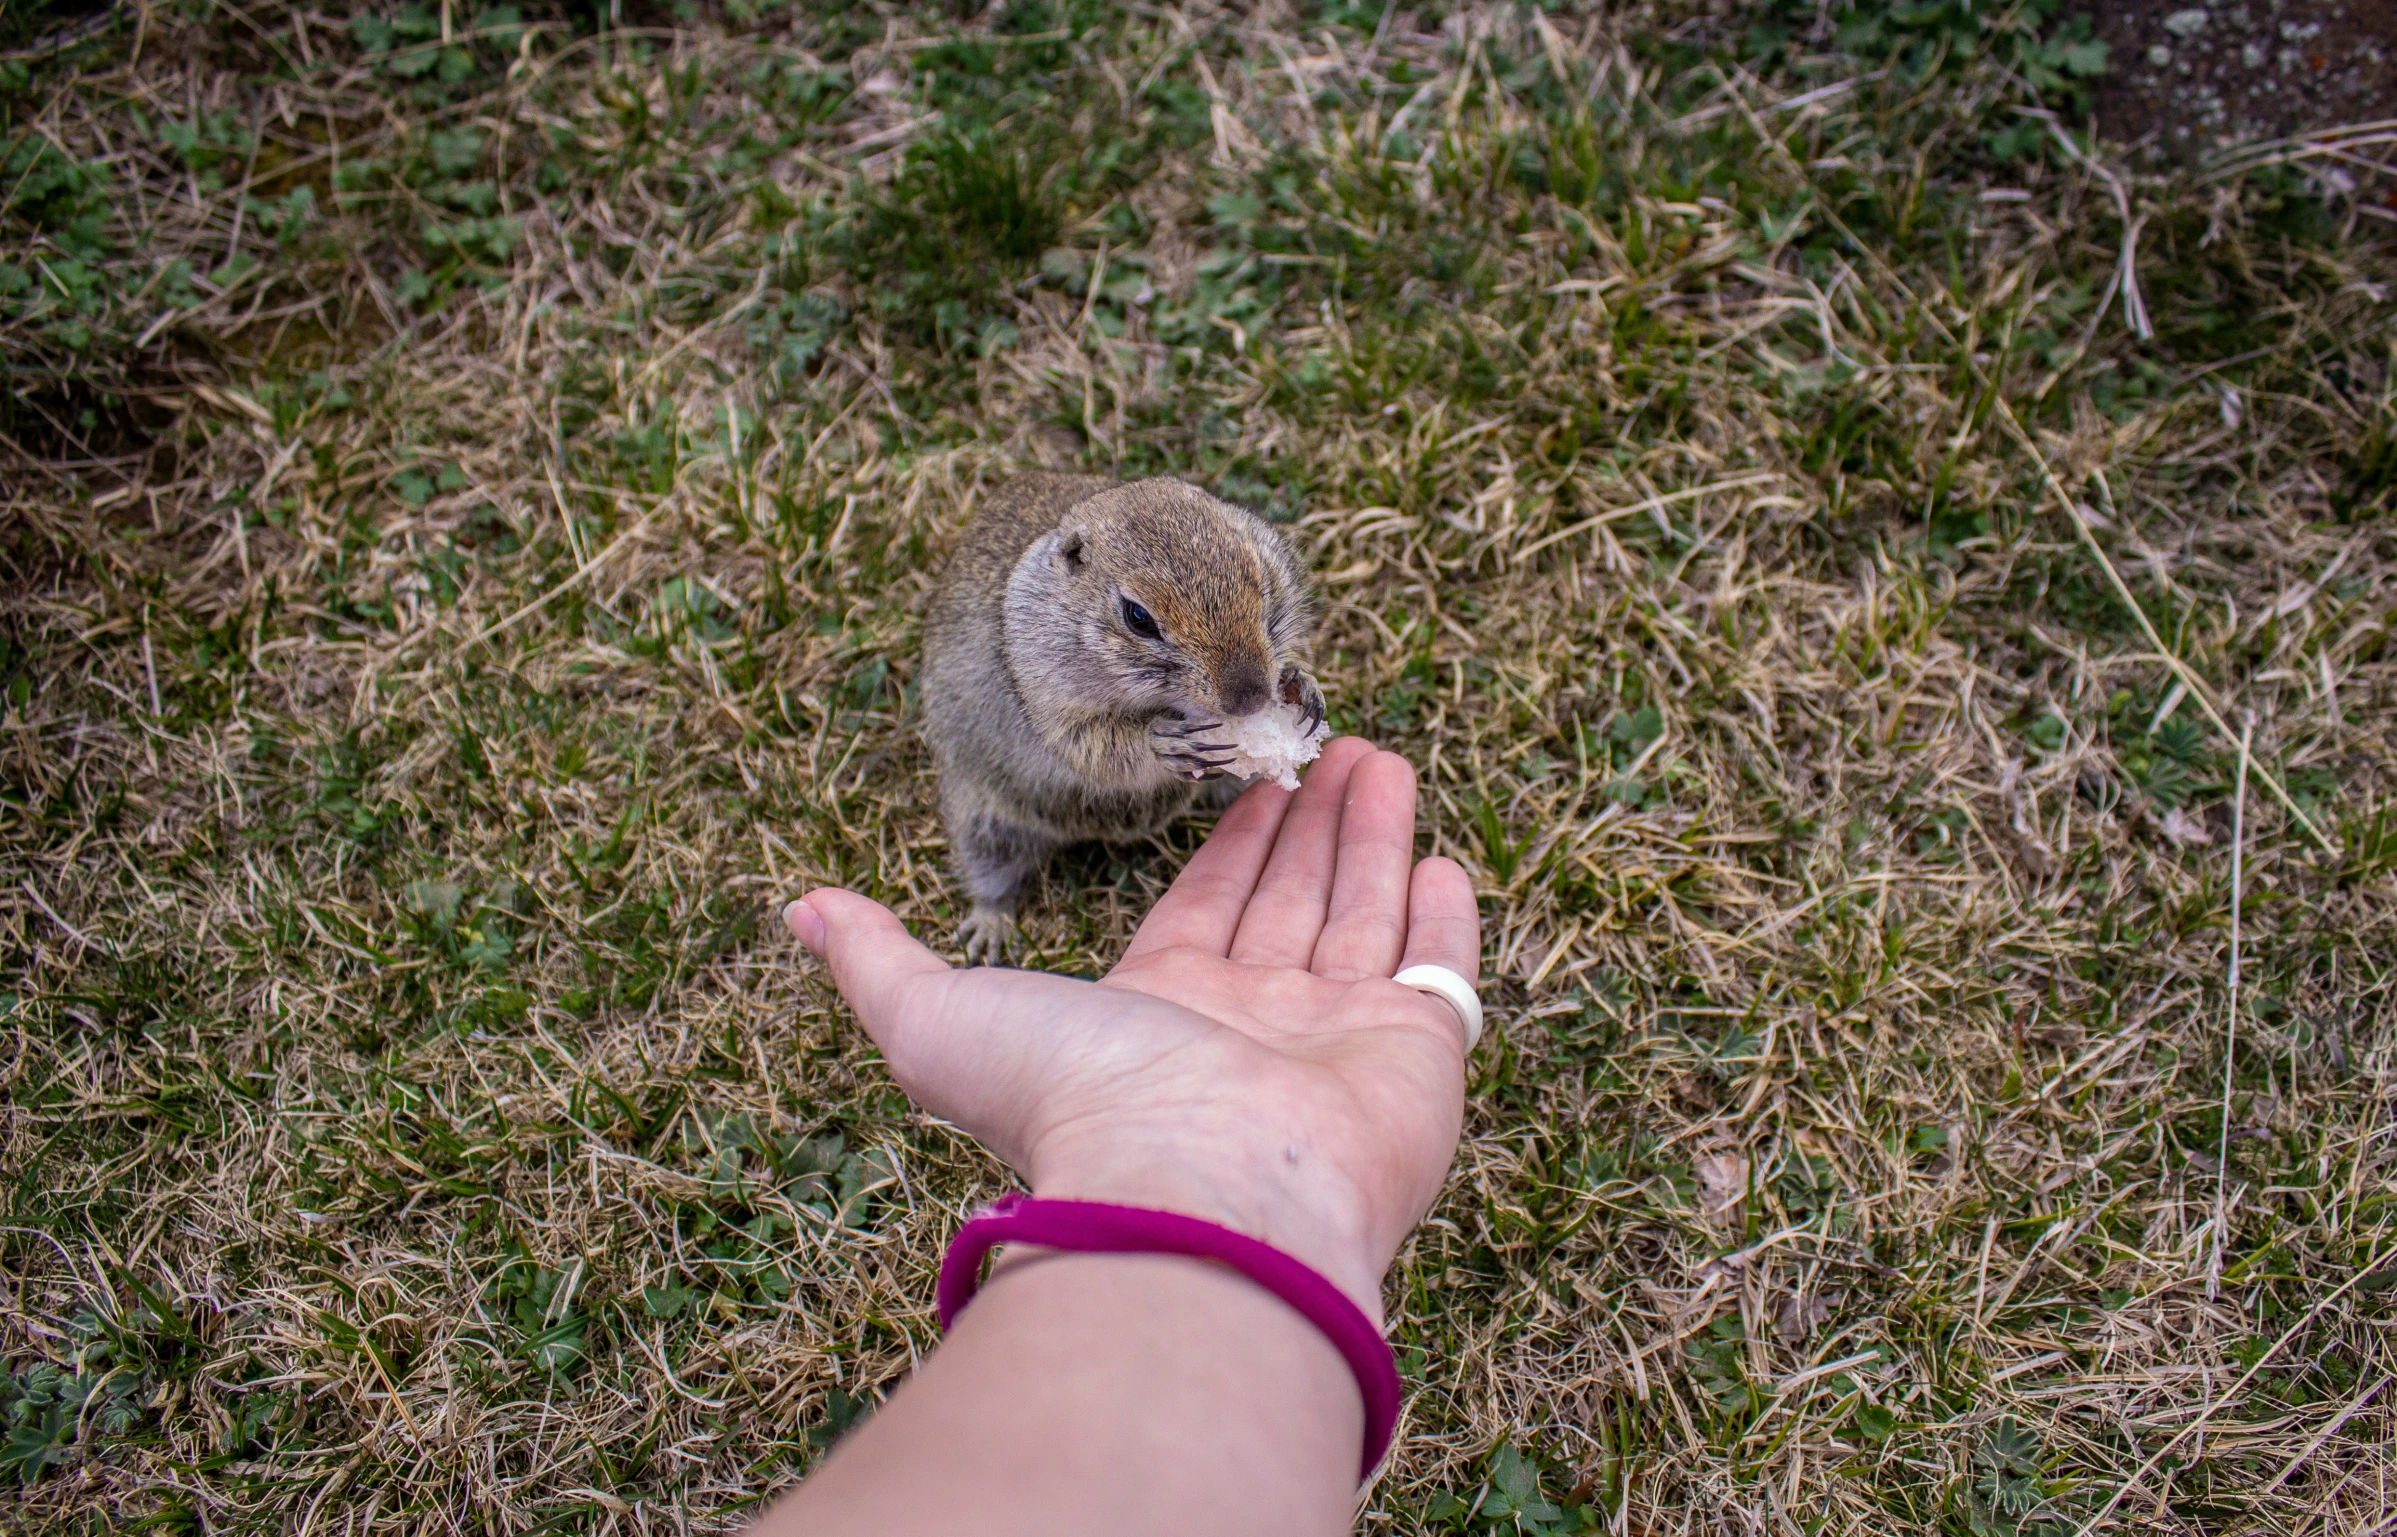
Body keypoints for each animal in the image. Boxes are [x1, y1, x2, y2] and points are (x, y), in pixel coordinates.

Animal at [920, 479, 1332, 959]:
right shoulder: (1052, 707)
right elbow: (1098, 750)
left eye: (1260, 580)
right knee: (990, 875)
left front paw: (1301, 684)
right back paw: (989, 928)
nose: (1250, 699)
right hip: (983, 821)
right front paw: (1162, 742)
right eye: (1138, 617)